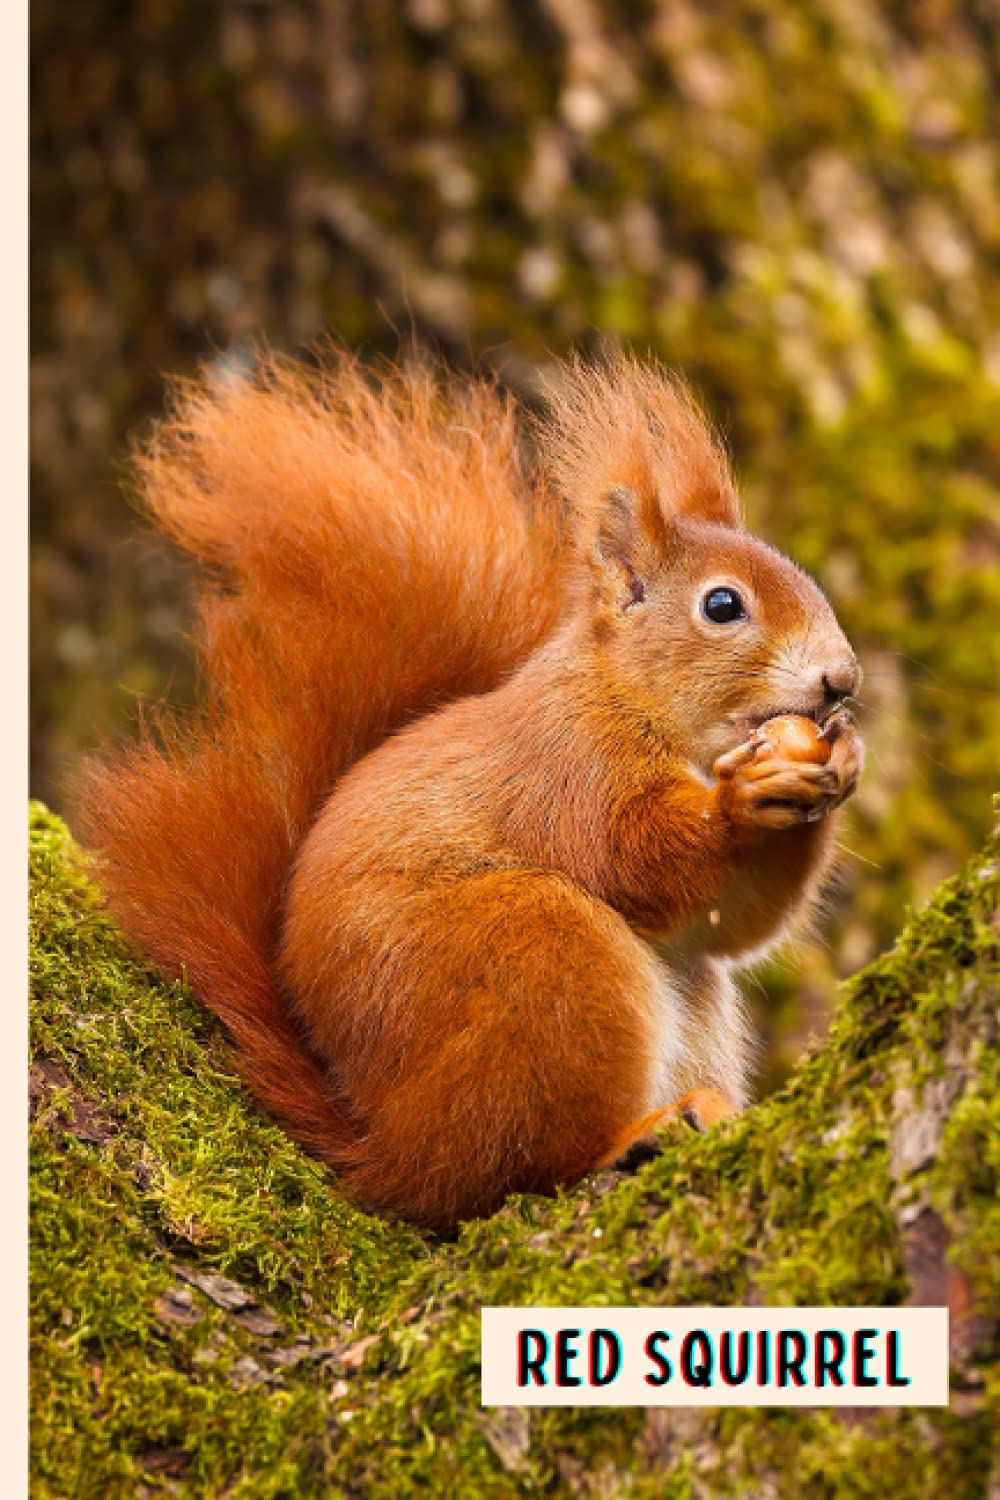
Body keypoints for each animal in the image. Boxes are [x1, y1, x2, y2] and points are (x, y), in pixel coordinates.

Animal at [77, 351, 863, 1231]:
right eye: (722, 605)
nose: (842, 681)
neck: (631, 700)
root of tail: (381, 1146)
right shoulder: (567, 768)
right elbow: (635, 859)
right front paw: (740, 802)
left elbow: (735, 921)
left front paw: (839, 763)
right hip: (539, 957)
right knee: (507, 1172)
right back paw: (632, 1136)